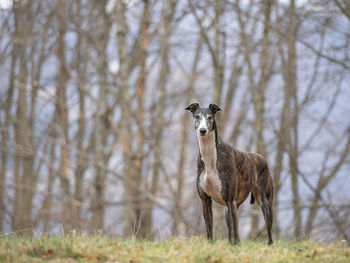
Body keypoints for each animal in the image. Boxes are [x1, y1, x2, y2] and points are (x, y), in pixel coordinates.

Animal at [186, 102, 274, 245]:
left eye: (210, 117)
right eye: (197, 116)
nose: (202, 130)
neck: (211, 157)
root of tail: (261, 157)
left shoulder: (231, 199)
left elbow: (236, 230)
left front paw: (237, 246)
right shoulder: (205, 200)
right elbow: (209, 227)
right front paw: (210, 244)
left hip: (264, 202)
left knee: (268, 230)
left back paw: (268, 245)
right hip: (229, 209)